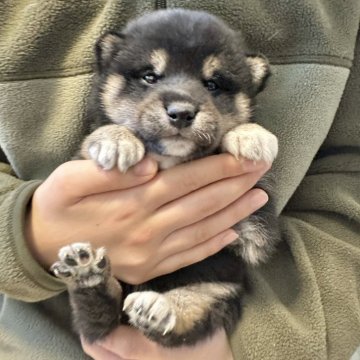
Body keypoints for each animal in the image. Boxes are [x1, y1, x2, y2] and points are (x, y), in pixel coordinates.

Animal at [50, 8, 280, 346]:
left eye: (212, 84)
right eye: (150, 77)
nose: (181, 112)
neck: (169, 161)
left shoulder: (256, 233)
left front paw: (250, 135)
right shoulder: (77, 162)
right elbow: (97, 136)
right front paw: (116, 139)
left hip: (218, 289)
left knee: (178, 319)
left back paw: (154, 307)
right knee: (98, 321)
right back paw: (88, 274)